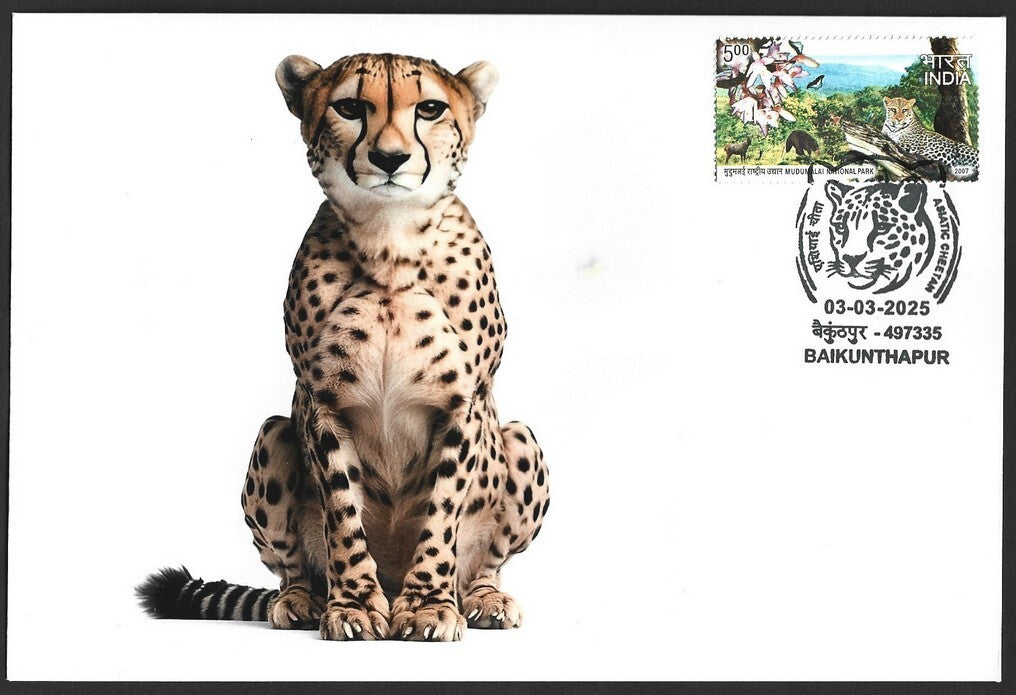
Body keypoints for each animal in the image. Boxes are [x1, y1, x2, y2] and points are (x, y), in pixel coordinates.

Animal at [136, 53, 550, 642]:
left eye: (430, 108)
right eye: (350, 107)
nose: (390, 157)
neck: (391, 244)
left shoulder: (465, 403)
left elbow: (443, 510)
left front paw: (428, 606)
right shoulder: (321, 402)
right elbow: (342, 509)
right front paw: (352, 605)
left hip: (521, 439)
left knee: (487, 562)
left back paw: (483, 600)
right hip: (274, 433)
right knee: (288, 564)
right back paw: (300, 601)